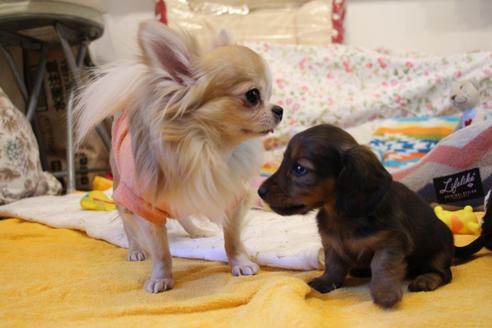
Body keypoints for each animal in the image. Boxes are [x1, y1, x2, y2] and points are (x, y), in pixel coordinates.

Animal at [258, 124, 488, 308]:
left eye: (299, 168)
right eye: (283, 162)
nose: (260, 192)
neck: (340, 215)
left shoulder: (391, 242)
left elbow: (382, 266)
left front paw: (385, 293)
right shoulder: (332, 245)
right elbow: (334, 265)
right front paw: (326, 281)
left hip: (438, 253)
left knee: (444, 273)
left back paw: (426, 279)